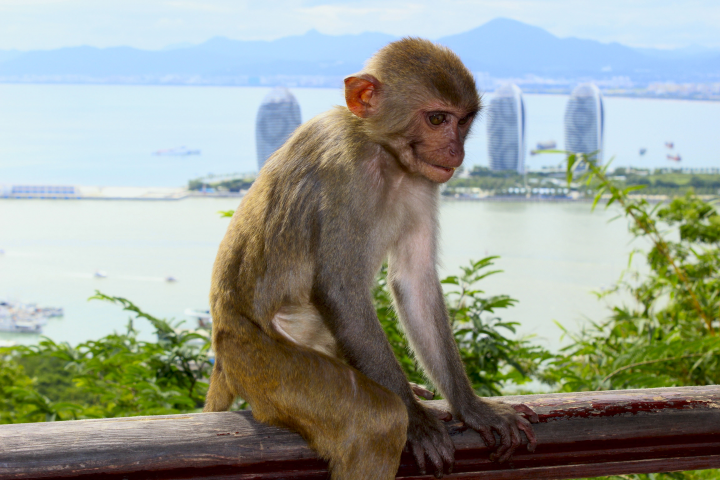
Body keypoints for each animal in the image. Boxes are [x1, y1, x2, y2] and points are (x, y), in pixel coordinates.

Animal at [204, 38, 538, 479]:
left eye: (464, 121)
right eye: (437, 119)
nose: (456, 150)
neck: (383, 154)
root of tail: (223, 354)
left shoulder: (423, 181)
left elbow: (414, 283)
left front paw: (472, 408)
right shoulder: (345, 173)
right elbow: (340, 290)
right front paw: (417, 421)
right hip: (258, 362)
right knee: (374, 421)